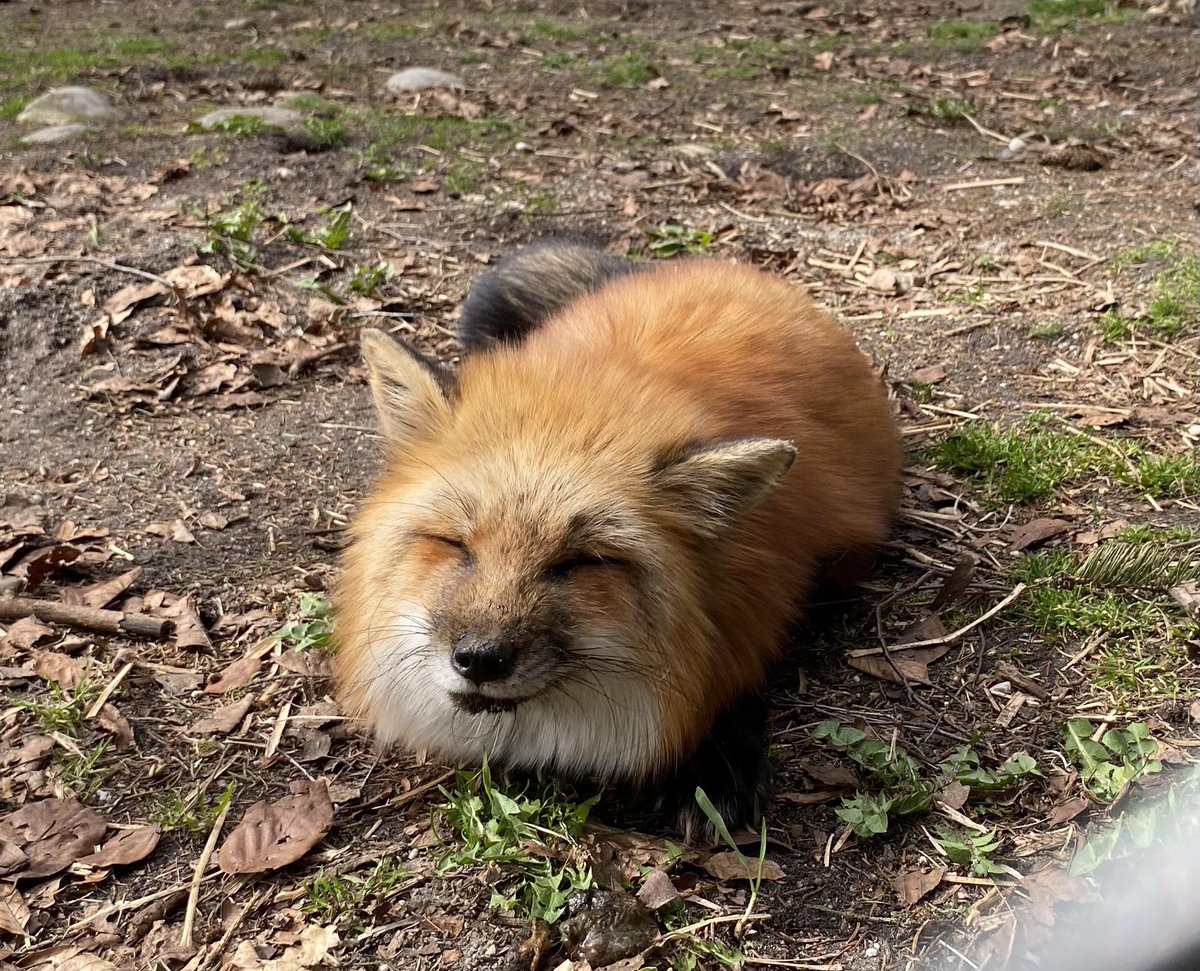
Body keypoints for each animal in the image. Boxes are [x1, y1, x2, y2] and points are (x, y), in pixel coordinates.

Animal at [333, 239, 903, 837]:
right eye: (456, 544)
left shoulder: (770, 589)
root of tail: (713, 269)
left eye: (579, 562)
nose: (481, 659)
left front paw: (715, 763)